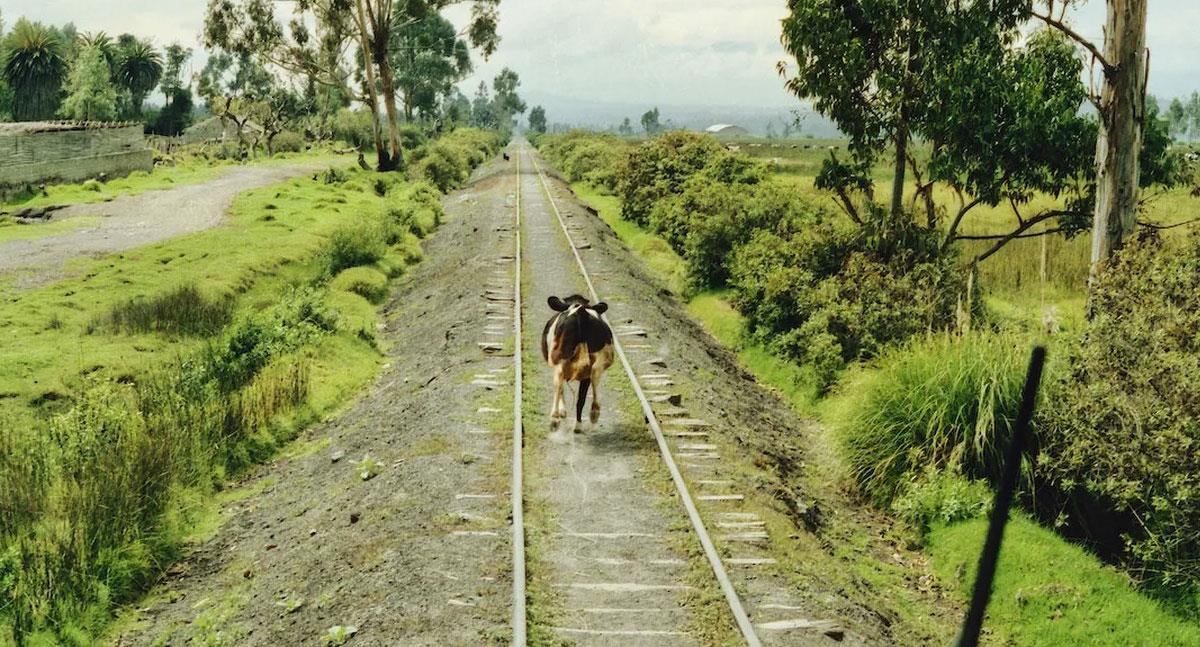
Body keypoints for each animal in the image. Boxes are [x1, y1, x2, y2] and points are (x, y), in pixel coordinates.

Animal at [544, 296, 619, 432]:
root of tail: (580, 311)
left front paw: (563, 412)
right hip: (597, 361)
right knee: (593, 379)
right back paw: (591, 416)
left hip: (559, 359)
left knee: (560, 383)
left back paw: (556, 420)